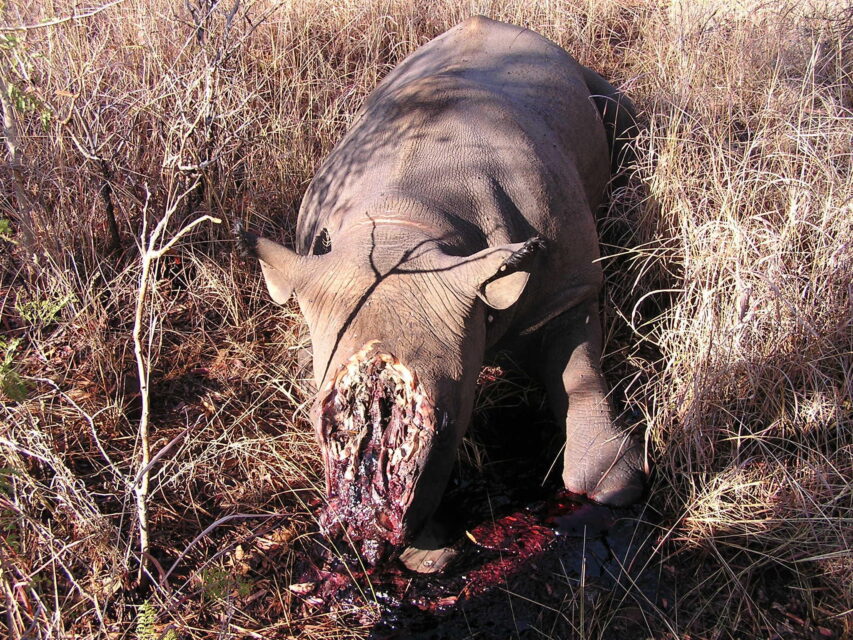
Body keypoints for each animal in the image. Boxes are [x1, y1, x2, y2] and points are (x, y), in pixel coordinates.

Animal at [238, 16, 645, 564]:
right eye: (320, 419)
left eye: (453, 423)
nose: (371, 535)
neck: (406, 222)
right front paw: (431, 556)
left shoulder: (571, 287)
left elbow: (579, 369)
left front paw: (613, 490)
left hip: (586, 79)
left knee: (623, 114)